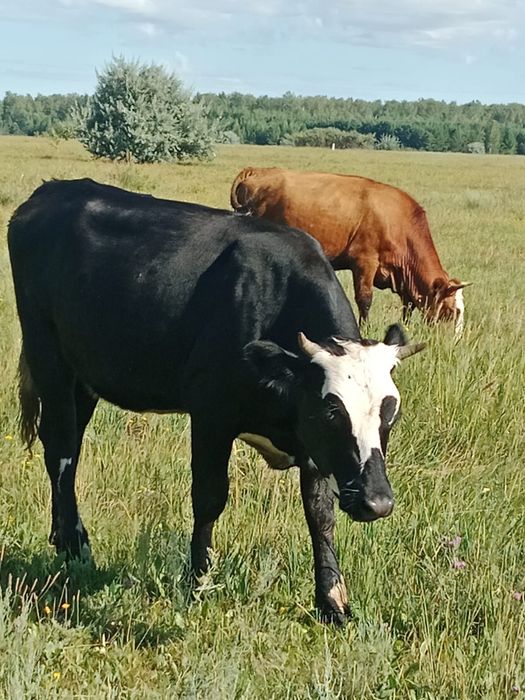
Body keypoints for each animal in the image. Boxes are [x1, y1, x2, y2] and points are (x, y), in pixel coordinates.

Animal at [8, 178, 424, 623]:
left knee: (67, 447)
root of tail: (52, 190)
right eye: (332, 411)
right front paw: (198, 582)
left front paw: (332, 601)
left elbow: (320, 512)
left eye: (390, 415)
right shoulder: (211, 417)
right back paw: (76, 547)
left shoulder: (311, 441)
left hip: (84, 375)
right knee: (61, 449)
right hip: (48, 356)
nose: (376, 502)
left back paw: (64, 537)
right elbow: (209, 498)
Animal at [230, 167, 470, 334]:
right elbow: (365, 299)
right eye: (452, 311)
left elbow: (407, 305)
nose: (455, 340)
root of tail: (259, 171)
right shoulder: (365, 262)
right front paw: (365, 328)